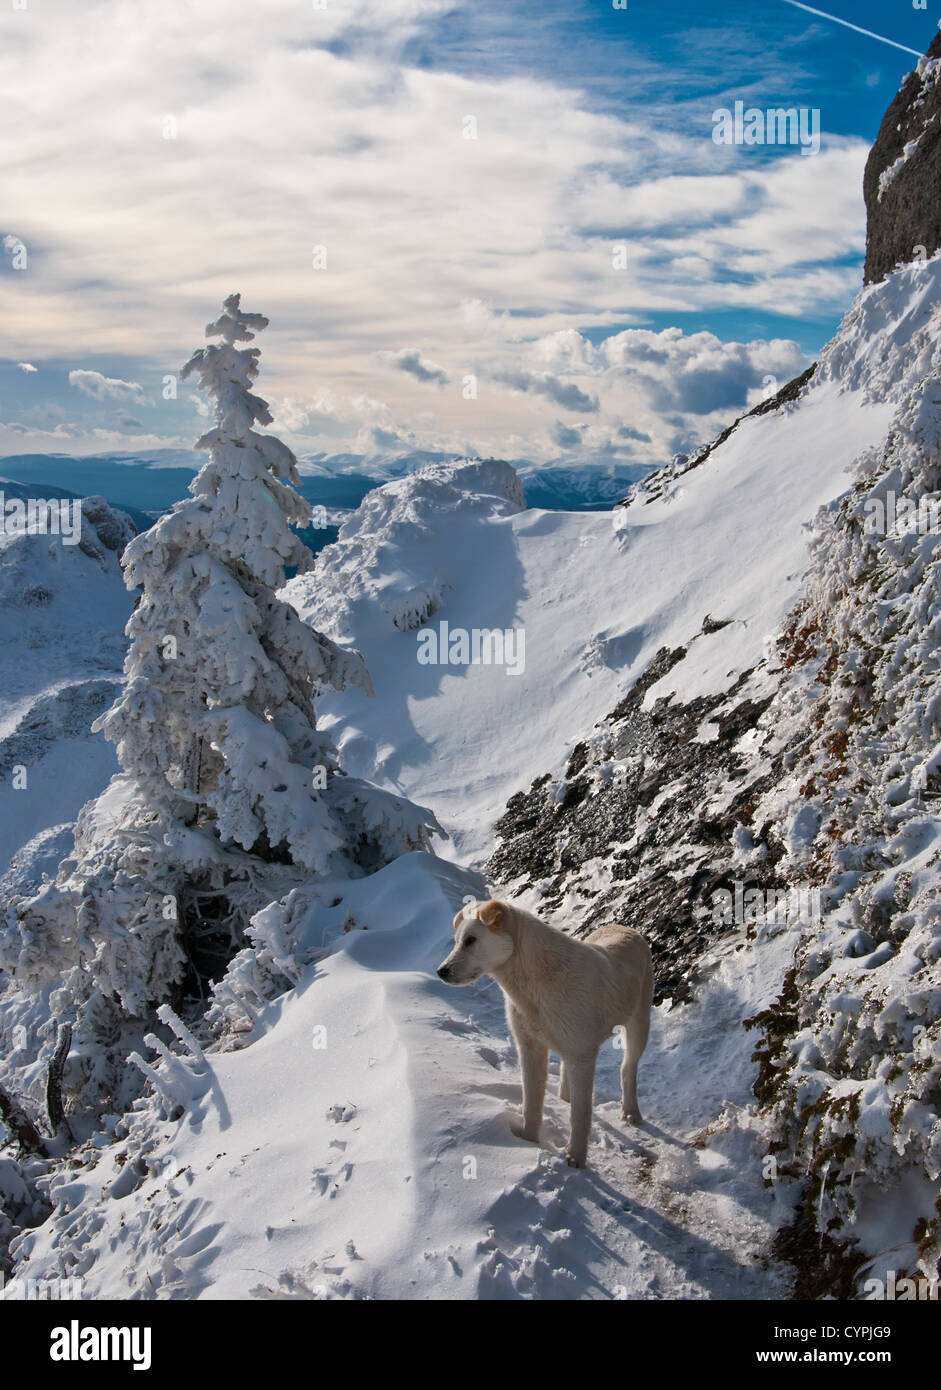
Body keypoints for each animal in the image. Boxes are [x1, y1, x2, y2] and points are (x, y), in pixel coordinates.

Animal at [433, 895, 650, 1167]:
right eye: (457, 940)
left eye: (471, 940)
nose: (441, 972)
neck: (532, 982)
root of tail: (626, 928)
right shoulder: (530, 1048)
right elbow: (531, 1103)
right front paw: (528, 1140)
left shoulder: (582, 1055)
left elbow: (580, 1115)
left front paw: (576, 1157)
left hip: (638, 1026)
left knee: (627, 1069)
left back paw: (630, 1111)